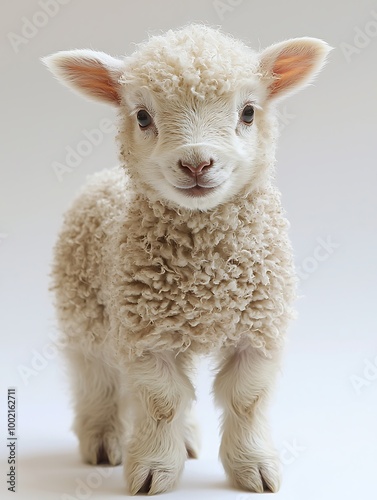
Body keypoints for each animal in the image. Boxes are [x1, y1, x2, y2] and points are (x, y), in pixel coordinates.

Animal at [42, 25, 328, 494]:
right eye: (142, 116)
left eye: (248, 112)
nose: (196, 163)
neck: (206, 273)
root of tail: (100, 179)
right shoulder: (145, 335)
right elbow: (161, 402)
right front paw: (153, 469)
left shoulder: (258, 329)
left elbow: (245, 399)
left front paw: (254, 468)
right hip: (85, 309)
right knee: (96, 375)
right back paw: (102, 439)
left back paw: (189, 438)